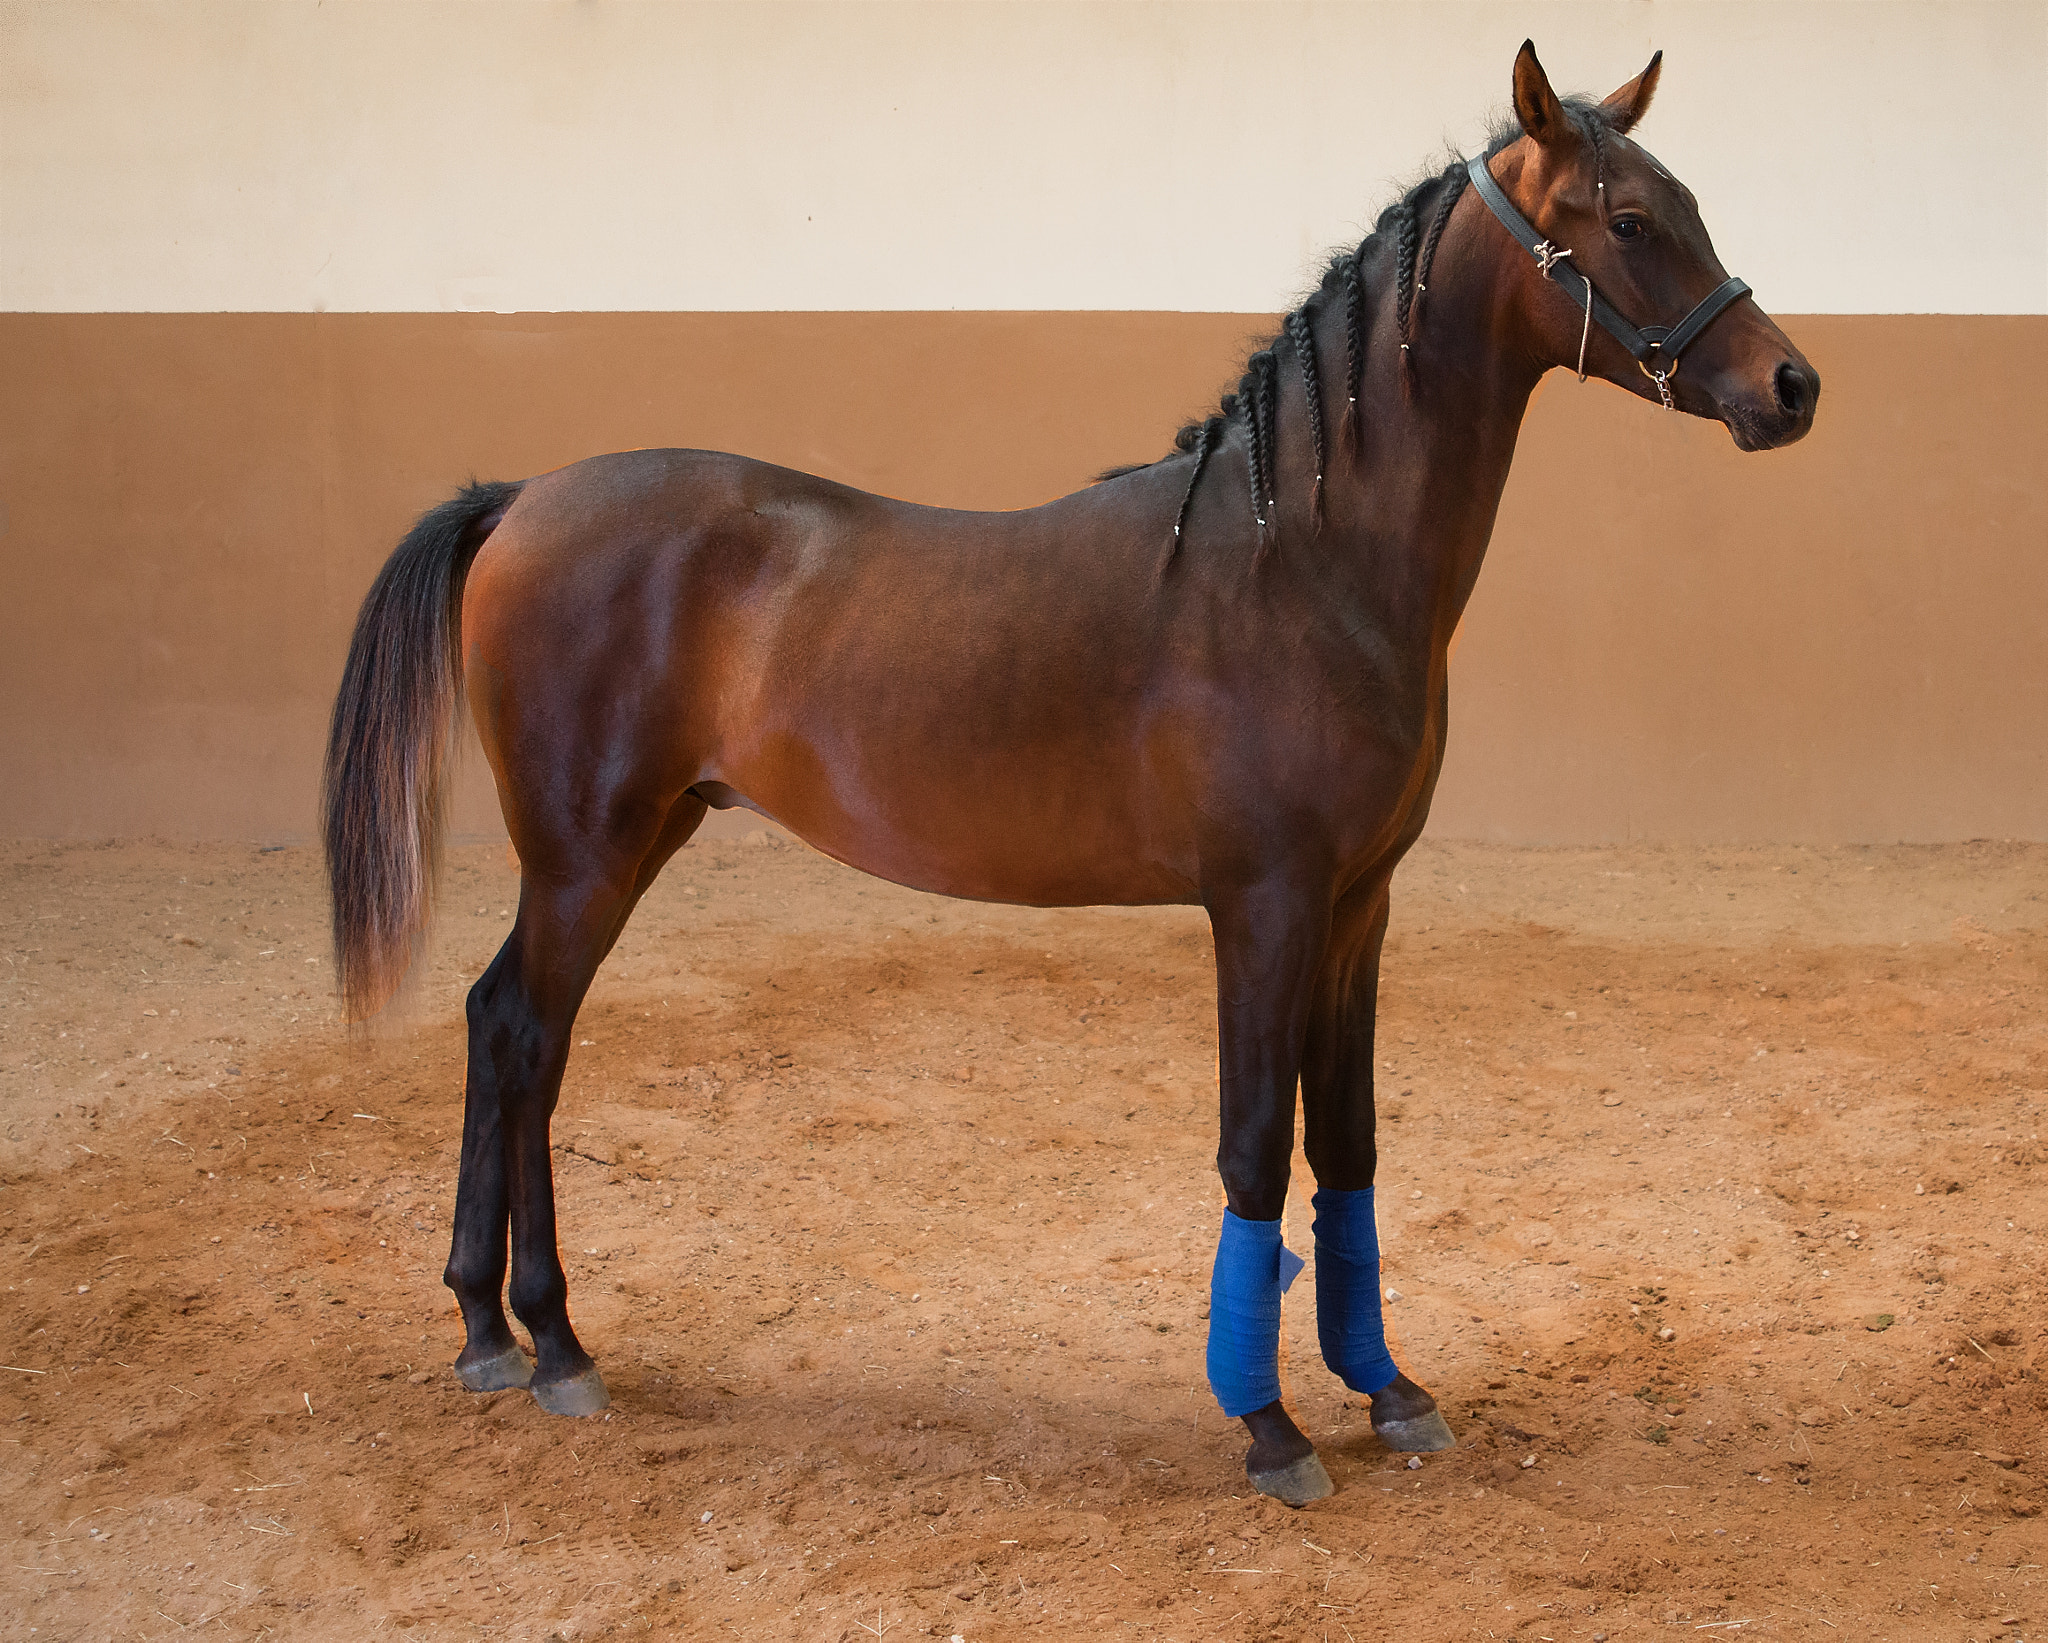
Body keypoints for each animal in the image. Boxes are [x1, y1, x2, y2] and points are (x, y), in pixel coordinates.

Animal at [323, 41, 1826, 1499]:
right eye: (1628, 221)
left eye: (1686, 202)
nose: (1790, 386)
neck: (1302, 562)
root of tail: (520, 499)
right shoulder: (1265, 904)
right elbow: (1253, 1141)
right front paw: (1269, 1426)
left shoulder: (1359, 904)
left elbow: (1346, 1141)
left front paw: (1389, 1389)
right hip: (586, 852)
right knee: (526, 1035)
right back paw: (548, 1339)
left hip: (632, 843)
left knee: (504, 1026)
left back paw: (495, 1328)